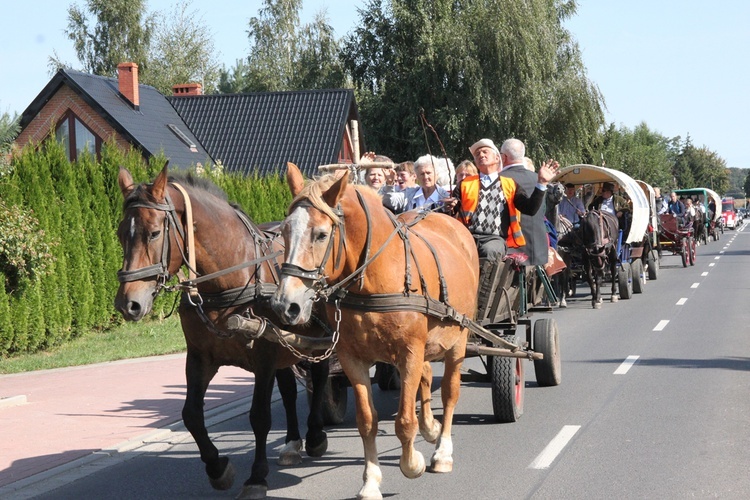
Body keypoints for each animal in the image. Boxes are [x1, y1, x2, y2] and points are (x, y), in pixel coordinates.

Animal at [114, 168, 332, 500]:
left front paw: (256, 477)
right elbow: (191, 414)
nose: (128, 304)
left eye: (153, 233)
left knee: (320, 376)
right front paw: (218, 469)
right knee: (289, 390)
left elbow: (259, 416)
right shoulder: (201, 357)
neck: (228, 278)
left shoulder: (263, 357)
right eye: (119, 233)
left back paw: (316, 434)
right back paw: (292, 443)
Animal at [274, 164, 478, 500]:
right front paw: (370, 481)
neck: (375, 277)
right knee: (426, 377)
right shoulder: (352, 359)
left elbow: (404, 421)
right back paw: (431, 428)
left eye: (320, 234)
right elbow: (367, 421)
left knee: (450, 392)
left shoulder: (408, 354)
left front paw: (412, 463)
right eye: (284, 232)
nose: (284, 304)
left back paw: (442, 450)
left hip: (458, 341)